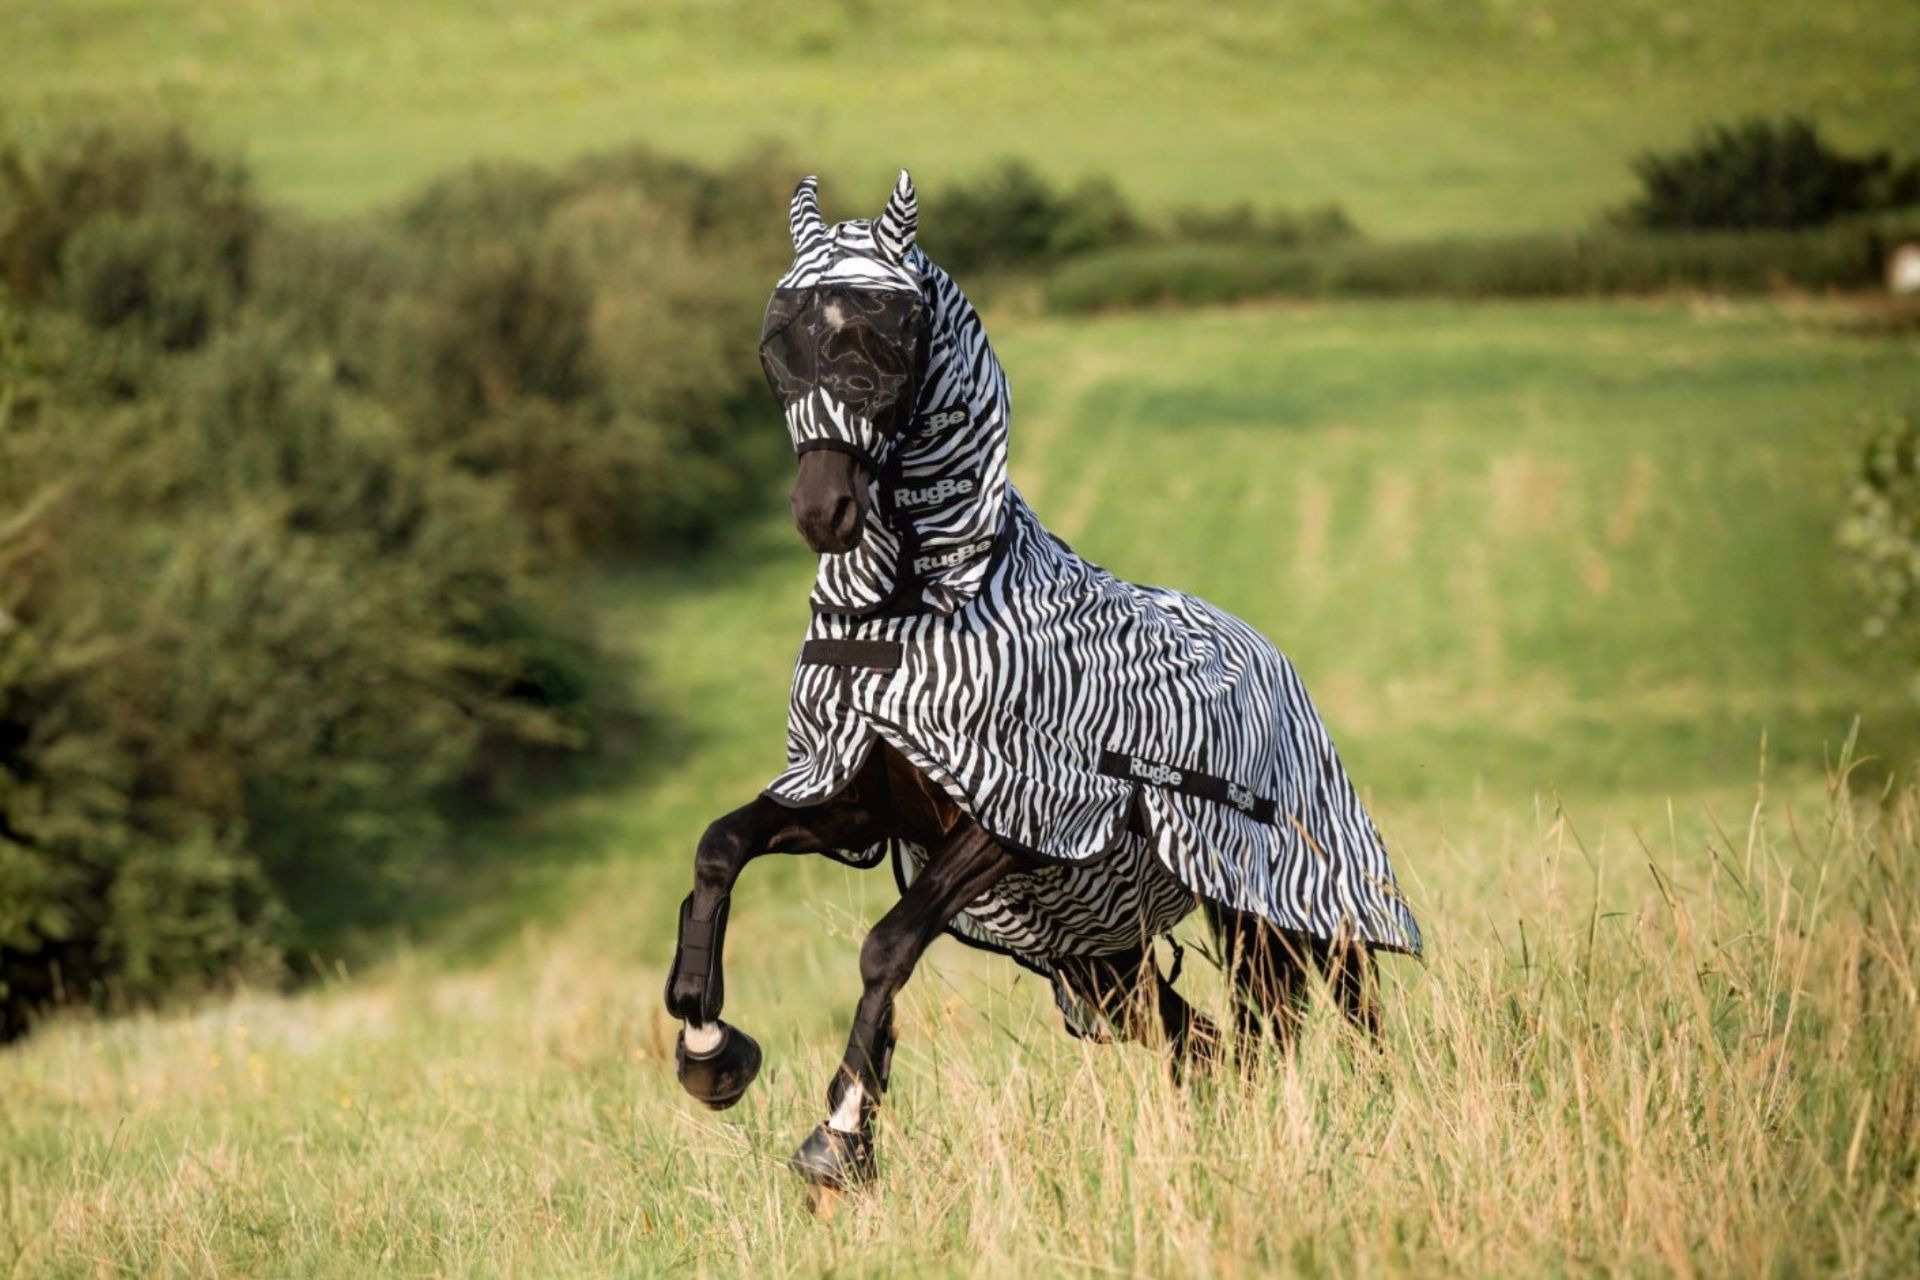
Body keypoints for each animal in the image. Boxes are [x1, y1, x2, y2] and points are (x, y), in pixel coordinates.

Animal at [664, 172, 1422, 1194]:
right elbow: (720, 848)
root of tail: (1270, 656)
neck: (919, 609)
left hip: (1295, 906)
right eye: (778, 342)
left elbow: (887, 944)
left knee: (1351, 1013)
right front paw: (707, 1047)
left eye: (890, 339)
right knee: (1215, 1045)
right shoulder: (856, 801)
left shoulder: (1014, 818)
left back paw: (1393, 1119)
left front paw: (841, 1135)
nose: (824, 512)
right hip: (1106, 963)